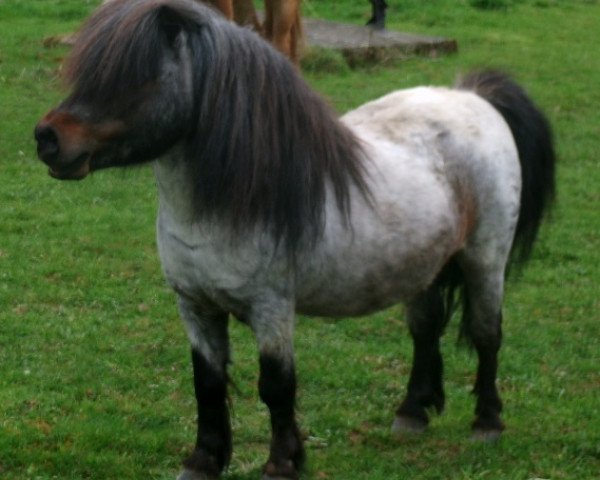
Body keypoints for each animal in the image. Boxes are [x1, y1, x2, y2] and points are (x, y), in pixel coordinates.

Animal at [35, 0, 556, 480]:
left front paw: (282, 464)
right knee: (425, 329)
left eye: (138, 76)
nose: (48, 139)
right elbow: (207, 382)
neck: (228, 200)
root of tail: (474, 97)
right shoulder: (195, 305)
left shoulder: (271, 308)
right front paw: (203, 461)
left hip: (484, 260)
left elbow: (276, 386)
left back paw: (487, 423)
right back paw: (411, 413)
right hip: (423, 267)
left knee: (487, 335)